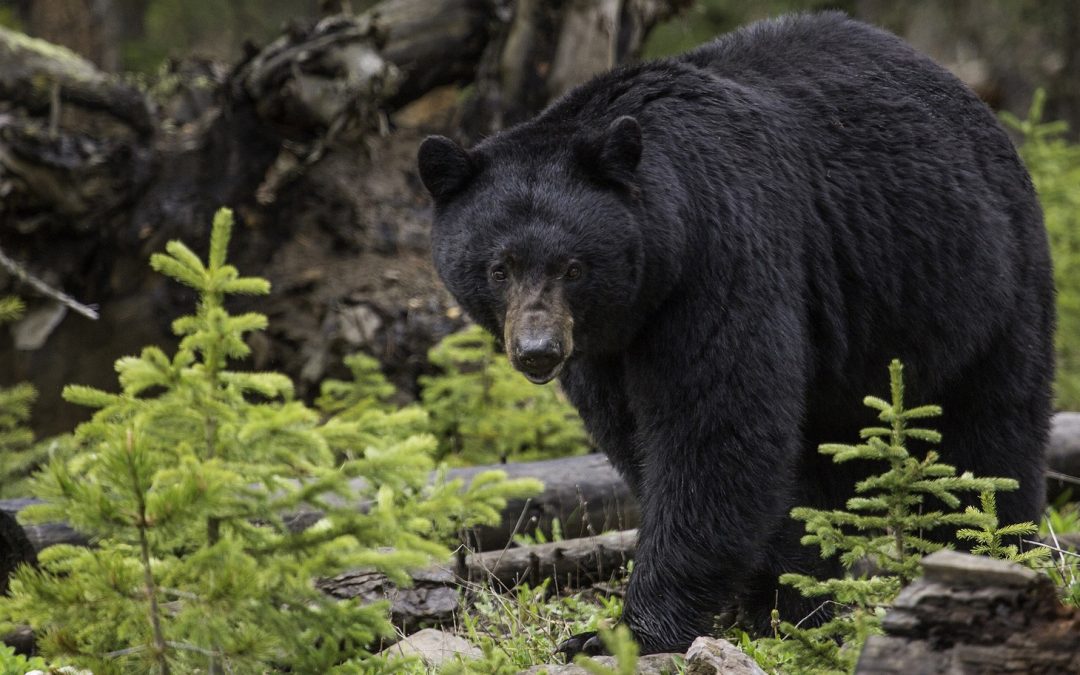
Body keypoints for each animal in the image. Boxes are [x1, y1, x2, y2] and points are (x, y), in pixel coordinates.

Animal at [416, 12, 1054, 656]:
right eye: (499, 268)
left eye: (573, 267)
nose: (538, 352)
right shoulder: (606, 346)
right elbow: (639, 437)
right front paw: (772, 600)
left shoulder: (723, 255)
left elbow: (715, 430)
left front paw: (624, 632)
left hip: (978, 285)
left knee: (988, 436)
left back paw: (987, 553)